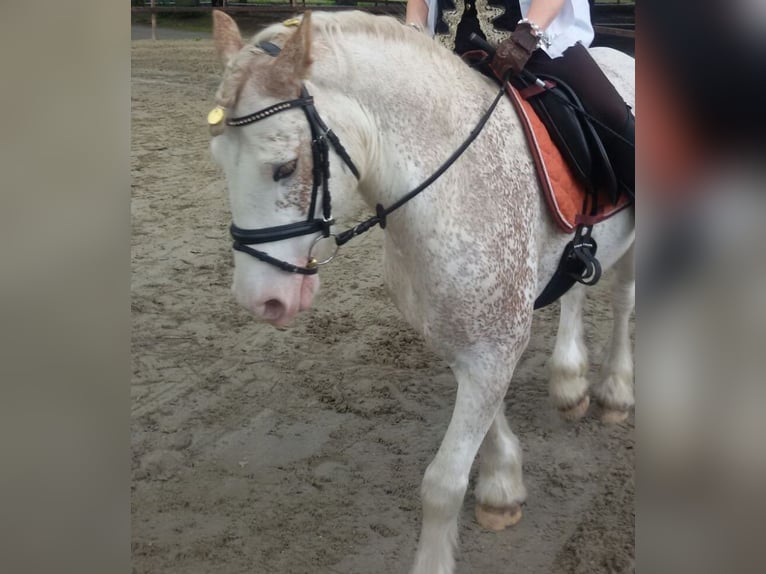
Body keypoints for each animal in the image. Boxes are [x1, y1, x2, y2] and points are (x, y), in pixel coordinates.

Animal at [208, 10, 636, 574]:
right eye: (218, 159)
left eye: (284, 166)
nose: (263, 300)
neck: (454, 188)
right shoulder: (465, 338)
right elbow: (488, 426)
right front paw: (502, 485)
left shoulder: (492, 347)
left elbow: (442, 484)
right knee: (576, 294)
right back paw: (570, 381)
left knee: (626, 302)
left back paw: (614, 392)